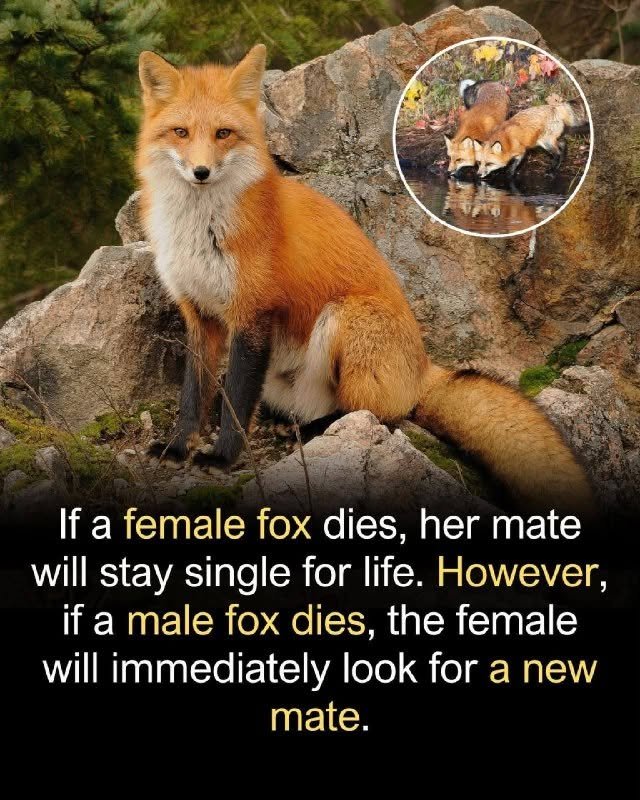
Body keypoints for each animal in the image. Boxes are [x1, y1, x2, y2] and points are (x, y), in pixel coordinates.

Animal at [136, 45, 594, 515]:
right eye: (181, 132)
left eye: (223, 133)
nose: (201, 172)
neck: (200, 230)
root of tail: (423, 366)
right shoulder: (199, 314)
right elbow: (192, 395)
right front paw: (177, 447)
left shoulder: (252, 314)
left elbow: (236, 404)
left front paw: (223, 457)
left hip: (346, 317)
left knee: (374, 414)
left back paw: (322, 430)